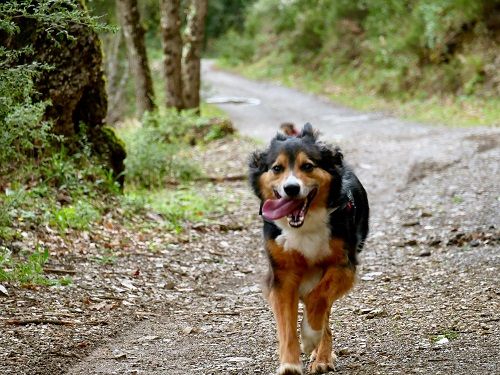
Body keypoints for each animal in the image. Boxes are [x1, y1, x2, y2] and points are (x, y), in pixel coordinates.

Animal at [249, 122, 370, 374]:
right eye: (277, 168)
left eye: (307, 166)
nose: (291, 188)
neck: (306, 225)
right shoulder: (282, 274)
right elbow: (286, 323)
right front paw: (289, 363)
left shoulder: (344, 265)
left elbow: (319, 298)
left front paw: (309, 337)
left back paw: (321, 356)